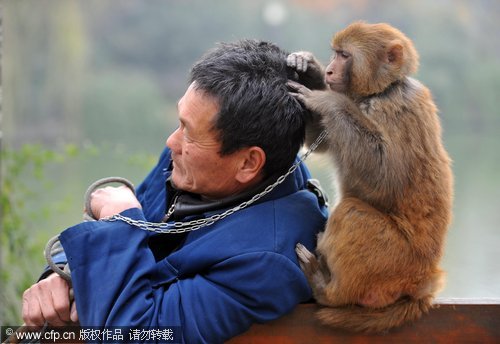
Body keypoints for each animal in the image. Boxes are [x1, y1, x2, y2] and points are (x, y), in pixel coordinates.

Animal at [286, 22, 454, 334]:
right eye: (335, 54)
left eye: (344, 55)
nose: (329, 71)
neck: (380, 92)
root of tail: (422, 286)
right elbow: (322, 139)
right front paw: (308, 69)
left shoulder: (394, 110)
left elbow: (385, 178)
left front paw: (328, 100)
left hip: (393, 262)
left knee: (352, 214)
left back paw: (327, 289)